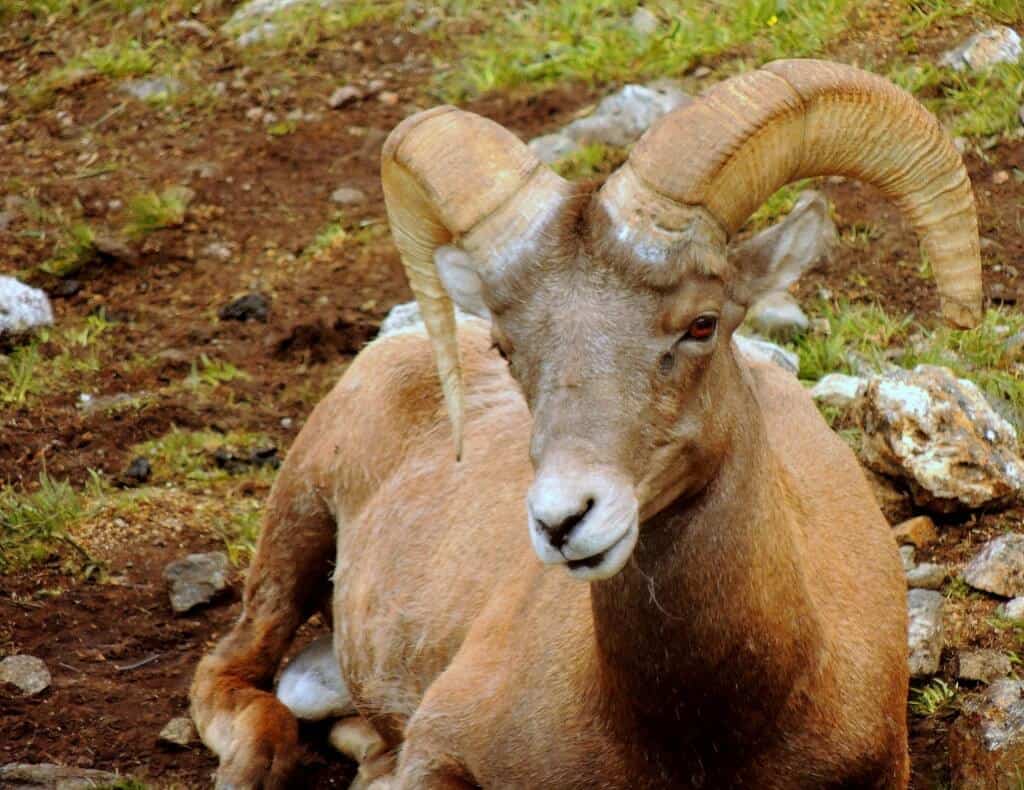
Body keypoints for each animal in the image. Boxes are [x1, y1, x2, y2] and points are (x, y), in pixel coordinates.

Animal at [191, 59, 982, 789]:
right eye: (505, 345)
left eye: (703, 323)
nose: (564, 520)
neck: (706, 743)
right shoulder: (440, 750)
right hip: (296, 525)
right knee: (229, 668)